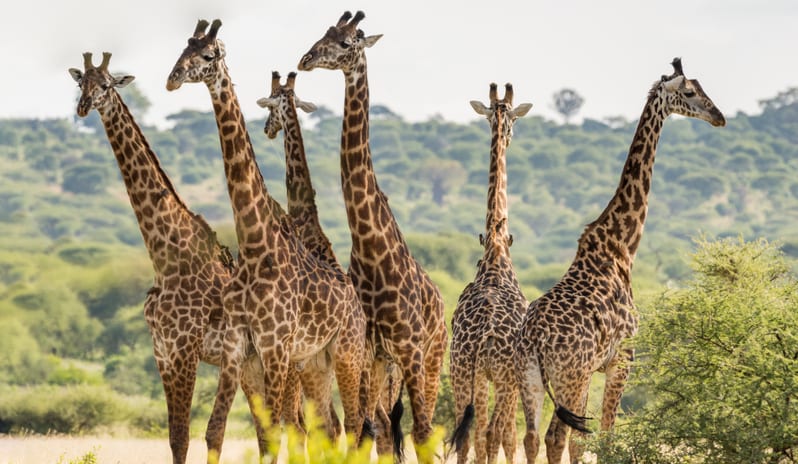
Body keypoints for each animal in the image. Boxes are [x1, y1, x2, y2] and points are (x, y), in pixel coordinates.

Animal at [69, 52, 268, 464]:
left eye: (107, 84)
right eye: (81, 83)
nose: (83, 107)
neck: (166, 259)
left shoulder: (185, 349)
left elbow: (198, 434)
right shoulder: (162, 351)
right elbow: (176, 437)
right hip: (252, 368)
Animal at [166, 20, 366, 461]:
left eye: (208, 55)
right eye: (182, 49)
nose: (171, 79)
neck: (256, 245)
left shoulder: (276, 346)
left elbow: (278, 430)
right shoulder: (239, 346)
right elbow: (223, 429)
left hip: (346, 352)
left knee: (356, 424)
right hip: (317, 362)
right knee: (331, 425)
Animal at [298, 11, 448, 463]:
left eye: (348, 43)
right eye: (325, 33)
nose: (306, 59)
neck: (368, 245)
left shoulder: (410, 348)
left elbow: (421, 432)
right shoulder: (367, 351)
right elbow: (364, 431)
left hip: (431, 358)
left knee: (425, 428)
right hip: (384, 366)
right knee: (381, 426)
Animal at [515, 58, 725, 464]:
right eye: (690, 92)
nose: (718, 116)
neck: (622, 247)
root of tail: (534, 339)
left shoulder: (598, 366)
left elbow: (584, 439)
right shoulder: (622, 359)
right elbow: (605, 437)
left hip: (530, 377)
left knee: (532, 437)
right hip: (569, 375)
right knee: (556, 437)